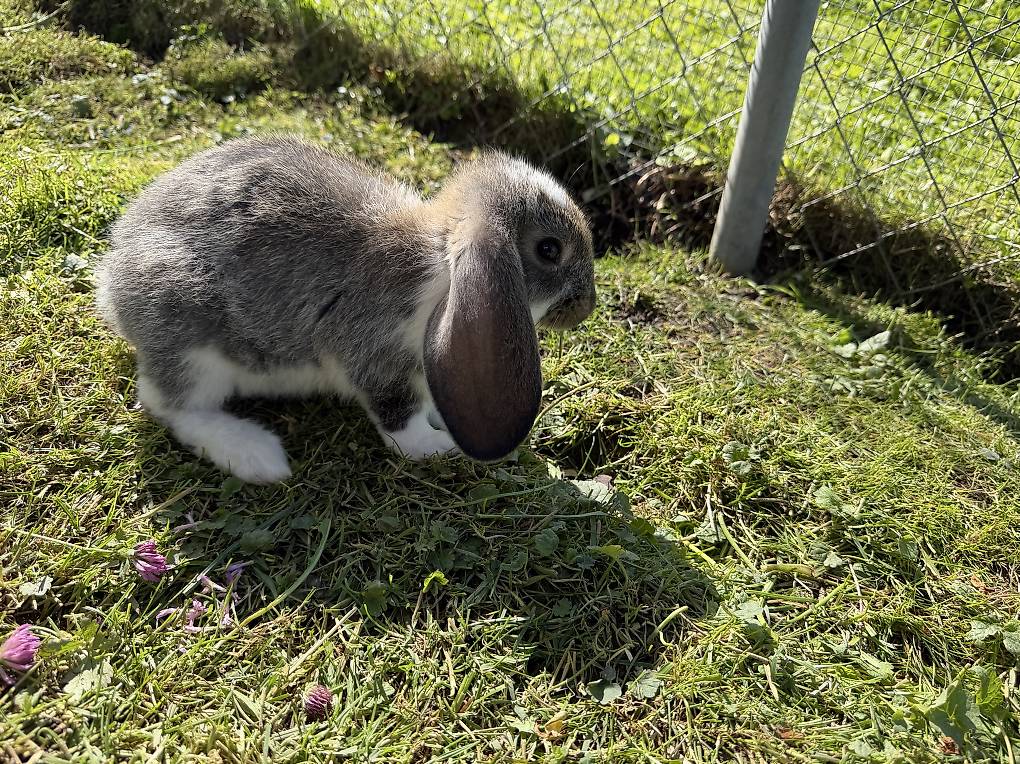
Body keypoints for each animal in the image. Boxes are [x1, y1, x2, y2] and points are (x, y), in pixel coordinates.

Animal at [96, 134, 596, 484]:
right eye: (550, 249)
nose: (586, 307)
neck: (443, 270)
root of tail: (113, 282)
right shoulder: (375, 356)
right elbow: (400, 423)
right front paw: (440, 447)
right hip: (192, 343)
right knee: (172, 406)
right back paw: (256, 455)